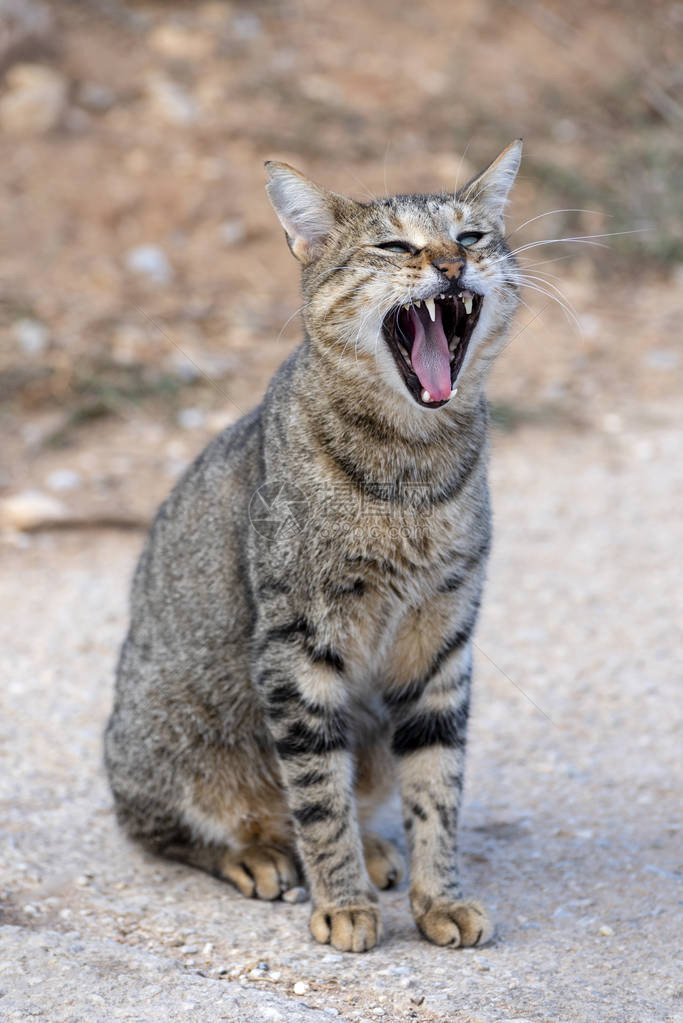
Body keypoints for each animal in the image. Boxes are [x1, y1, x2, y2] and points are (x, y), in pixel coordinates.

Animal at [105, 140, 523, 953]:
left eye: (471, 237)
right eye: (394, 246)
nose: (452, 264)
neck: (412, 467)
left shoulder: (443, 636)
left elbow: (437, 783)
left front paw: (439, 896)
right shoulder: (297, 643)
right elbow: (317, 789)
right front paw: (343, 902)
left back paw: (377, 850)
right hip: (162, 727)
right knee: (169, 828)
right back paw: (261, 852)